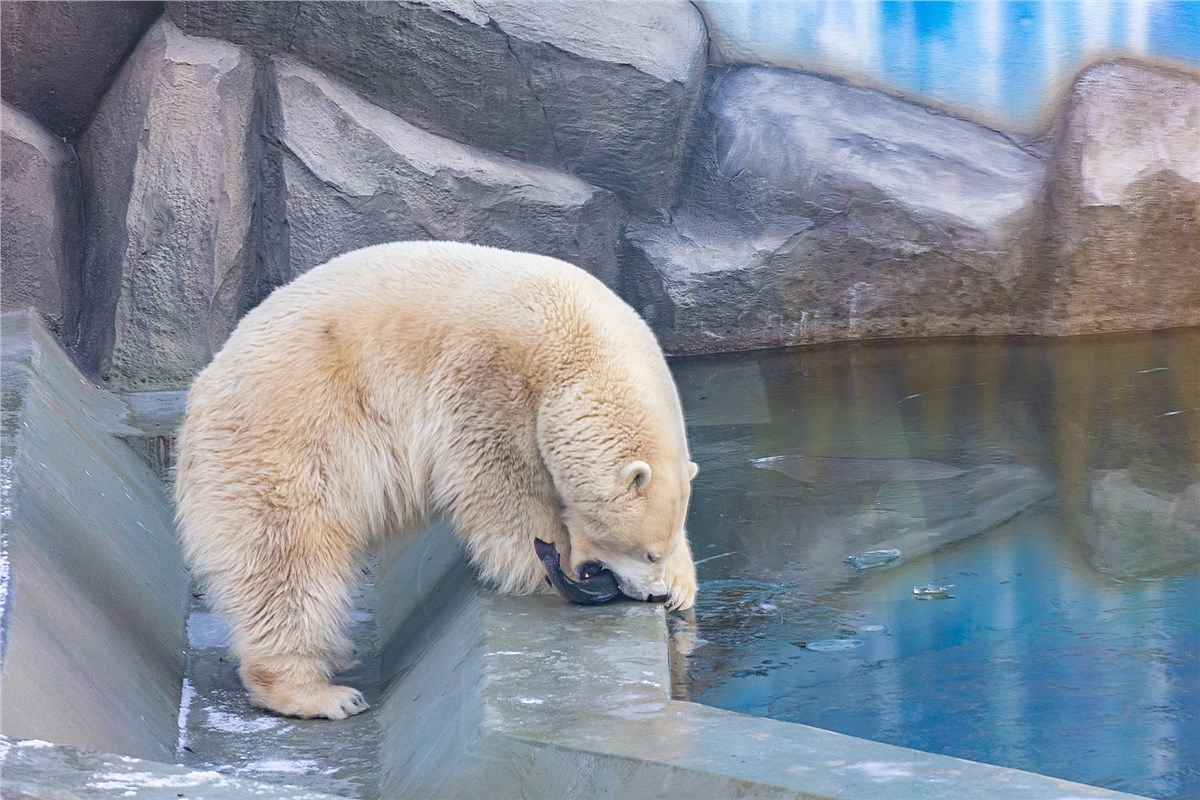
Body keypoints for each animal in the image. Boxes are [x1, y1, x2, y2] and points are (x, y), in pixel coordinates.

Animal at [174, 241, 700, 724]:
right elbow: (501, 487)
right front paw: (555, 567)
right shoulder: (489, 379)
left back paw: (336, 653)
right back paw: (320, 693)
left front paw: (681, 585)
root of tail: (199, 397)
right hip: (285, 442)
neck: (570, 341)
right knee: (289, 558)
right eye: (645, 553)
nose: (654, 595)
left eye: (660, 551)